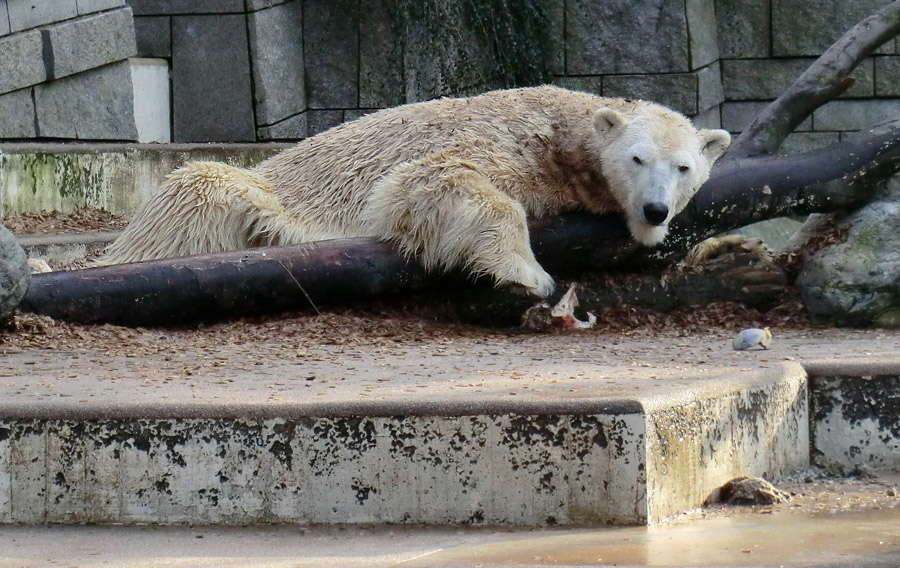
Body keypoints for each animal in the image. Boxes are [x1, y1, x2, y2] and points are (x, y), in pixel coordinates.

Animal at [98, 86, 732, 300]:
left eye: (683, 167)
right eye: (637, 158)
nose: (654, 208)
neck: (558, 135)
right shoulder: (502, 143)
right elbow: (431, 181)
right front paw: (527, 274)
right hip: (251, 190)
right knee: (199, 189)